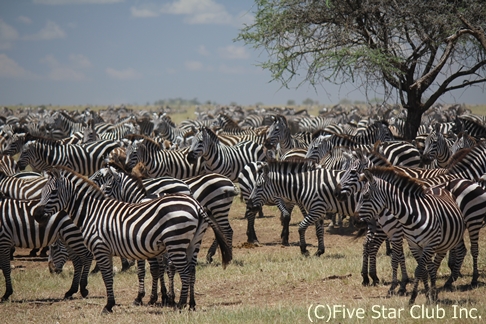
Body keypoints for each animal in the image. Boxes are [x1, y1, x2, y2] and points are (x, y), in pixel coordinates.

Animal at [33, 166, 232, 312]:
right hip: (192, 242)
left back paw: (180, 304)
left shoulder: (101, 247)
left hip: (175, 241)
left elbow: (108, 276)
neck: (92, 212)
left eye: (54, 192)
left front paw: (110, 305)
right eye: (42, 192)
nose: (36, 214)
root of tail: (196, 205)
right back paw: (190, 304)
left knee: (182, 270)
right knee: (190, 269)